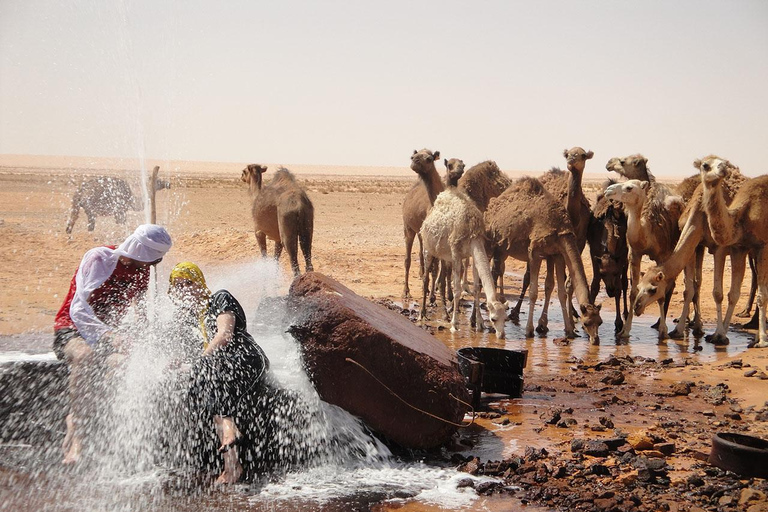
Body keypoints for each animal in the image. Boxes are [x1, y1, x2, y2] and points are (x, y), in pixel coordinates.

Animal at [412, 150, 508, 338]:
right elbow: (456, 290)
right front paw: (454, 324)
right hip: (428, 247)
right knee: (426, 276)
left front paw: (479, 324)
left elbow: (477, 288)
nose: (501, 335)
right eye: (493, 318)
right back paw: (422, 313)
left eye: (505, 318)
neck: (472, 233)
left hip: (444, 254)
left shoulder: (474, 252)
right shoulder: (457, 253)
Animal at [486, 178, 600, 342]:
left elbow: (560, 291)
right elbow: (533, 292)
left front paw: (569, 331)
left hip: (501, 248)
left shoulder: (557, 253)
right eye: (587, 323)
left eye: (600, 322)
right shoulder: (535, 252)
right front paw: (529, 330)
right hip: (493, 243)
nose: (595, 339)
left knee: (494, 271)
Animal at [604, 178, 680, 338]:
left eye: (629, 188)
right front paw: (624, 331)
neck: (647, 233)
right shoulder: (634, 254)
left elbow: (661, 294)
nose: (608, 190)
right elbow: (633, 292)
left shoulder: (662, 256)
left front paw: (663, 330)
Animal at [696, 156, 768, 348]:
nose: (723, 169)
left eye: (724, 163)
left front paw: (762, 340)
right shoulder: (738, 248)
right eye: (705, 165)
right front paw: (719, 335)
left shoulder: (763, 246)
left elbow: (762, 295)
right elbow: (732, 294)